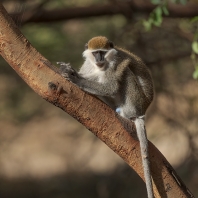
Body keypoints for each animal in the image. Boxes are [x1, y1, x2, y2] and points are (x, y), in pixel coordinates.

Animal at [57, 36, 155, 197]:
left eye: (102, 52)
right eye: (95, 53)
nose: (99, 59)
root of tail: (143, 110)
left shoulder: (116, 62)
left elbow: (111, 86)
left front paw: (76, 79)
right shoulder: (89, 64)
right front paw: (71, 71)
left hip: (137, 101)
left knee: (126, 73)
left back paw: (129, 115)